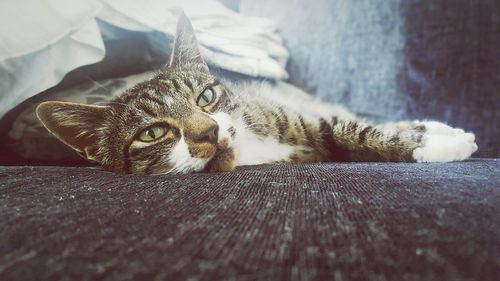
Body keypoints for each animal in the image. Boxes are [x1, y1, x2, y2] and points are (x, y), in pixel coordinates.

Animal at [34, 13, 476, 175]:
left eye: (205, 98)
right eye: (152, 133)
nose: (209, 132)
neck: (250, 149)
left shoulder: (293, 114)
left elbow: (351, 128)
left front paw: (437, 143)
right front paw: (434, 144)